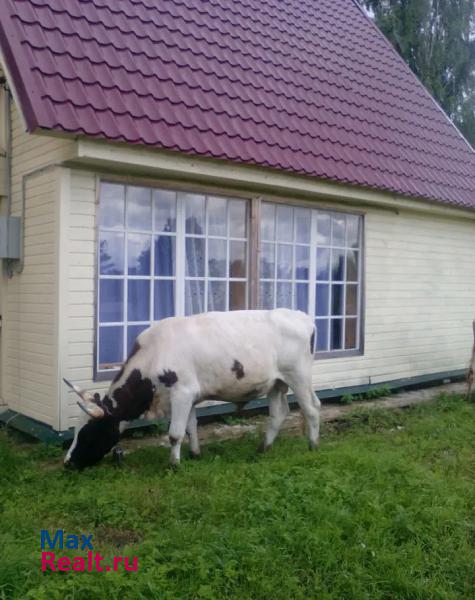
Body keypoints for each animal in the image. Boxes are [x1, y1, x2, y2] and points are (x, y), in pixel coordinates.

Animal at [63, 310, 322, 468]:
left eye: (87, 434)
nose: (67, 463)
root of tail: (303, 317)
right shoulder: (189, 396)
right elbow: (191, 427)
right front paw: (195, 454)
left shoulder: (182, 392)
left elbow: (175, 433)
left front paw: (174, 465)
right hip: (277, 383)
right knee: (279, 413)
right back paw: (263, 449)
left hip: (298, 376)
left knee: (311, 410)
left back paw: (312, 446)